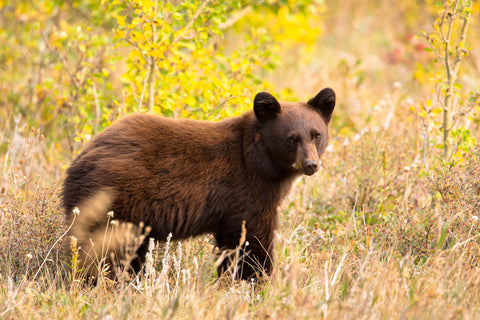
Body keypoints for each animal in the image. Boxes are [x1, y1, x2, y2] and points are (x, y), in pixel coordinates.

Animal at [62, 87, 336, 280]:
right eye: (291, 138)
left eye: (316, 135)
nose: (311, 164)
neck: (258, 159)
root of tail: (76, 164)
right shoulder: (247, 192)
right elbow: (250, 239)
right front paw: (256, 280)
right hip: (117, 203)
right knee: (105, 250)